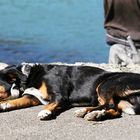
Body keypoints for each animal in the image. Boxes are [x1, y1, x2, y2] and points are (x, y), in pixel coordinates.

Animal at [0, 63, 139, 121]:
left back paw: (84, 111)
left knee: (107, 104)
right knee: (114, 110)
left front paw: (45, 112)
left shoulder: (59, 95)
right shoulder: (32, 97)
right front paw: (2, 106)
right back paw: (96, 115)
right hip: (118, 100)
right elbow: (15, 102)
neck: (29, 76)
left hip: (104, 84)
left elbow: (51, 104)